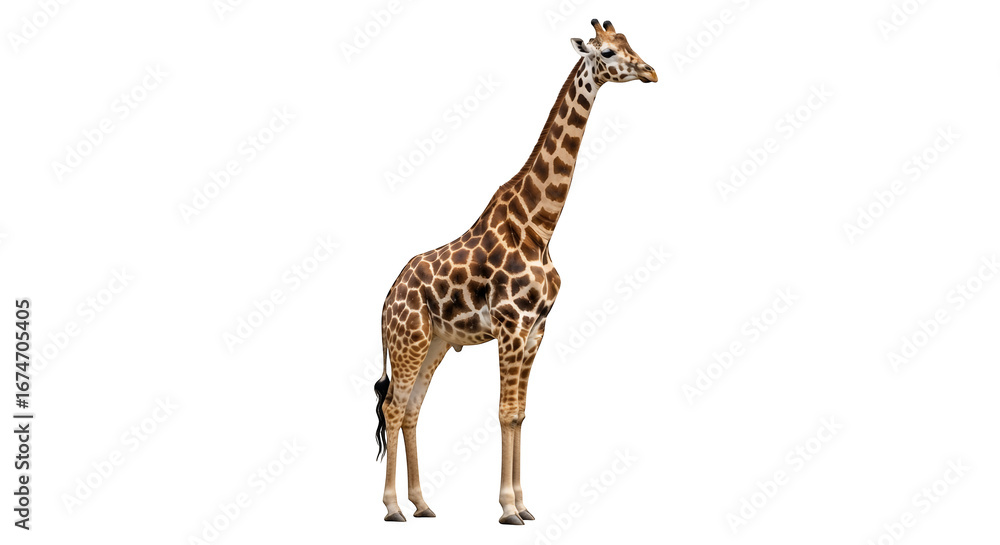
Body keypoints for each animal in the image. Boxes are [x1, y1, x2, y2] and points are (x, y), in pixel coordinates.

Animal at [374, 19, 656, 525]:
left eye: (630, 44)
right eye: (606, 51)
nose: (651, 71)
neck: (539, 227)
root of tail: (385, 299)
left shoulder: (537, 329)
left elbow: (521, 413)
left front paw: (524, 504)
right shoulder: (510, 325)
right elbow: (505, 411)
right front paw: (507, 508)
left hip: (435, 343)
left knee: (411, 409)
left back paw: (422, 503)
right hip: (408, 341)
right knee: (392, 406)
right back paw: (391, 508)